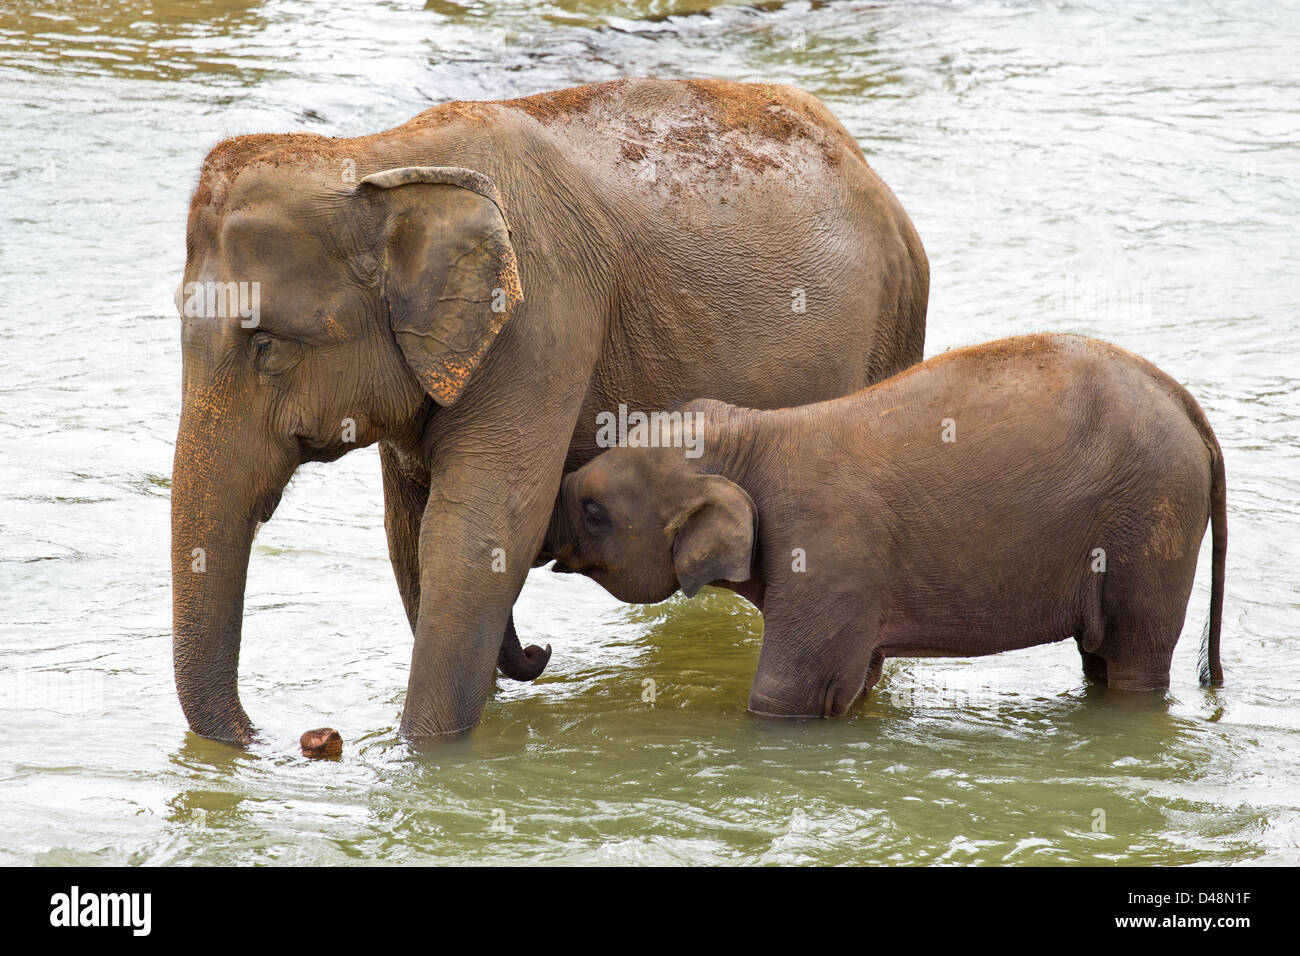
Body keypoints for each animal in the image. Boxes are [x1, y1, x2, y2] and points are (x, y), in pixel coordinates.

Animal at [172, 78, 930, 743]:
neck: (383, 156)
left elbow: (477, 533)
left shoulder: (541, 324)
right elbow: (409, 531)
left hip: (895, 324)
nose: (288, 737)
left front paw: (421, 753)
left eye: (266, 346)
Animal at [543, 332, 1222, 712]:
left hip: (1153, 520)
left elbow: (789, 694)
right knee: (1101, 660)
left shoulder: (827, 554)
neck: (754, 435)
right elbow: (856, 681)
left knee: (1133, 660)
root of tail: (1186, 403)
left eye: (593, 512)